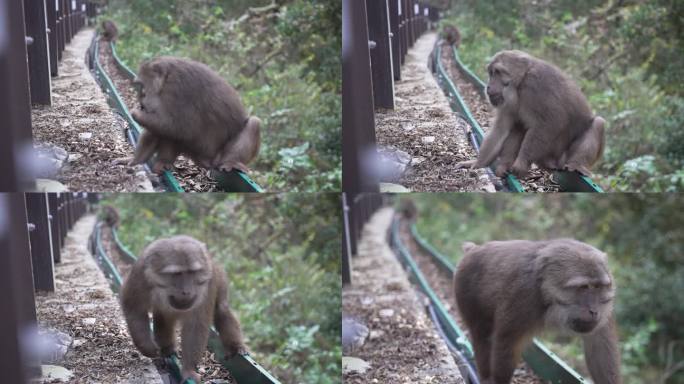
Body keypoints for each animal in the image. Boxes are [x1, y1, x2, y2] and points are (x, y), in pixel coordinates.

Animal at [121, 236, 248, 382]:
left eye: (192, 273)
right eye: (177, 273)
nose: (186, 291)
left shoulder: (208, 283)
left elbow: (196, 325)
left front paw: (189, 370)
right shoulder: (140, 273)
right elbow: (134, 306)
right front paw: (146, 346)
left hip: (218, 274)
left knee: (221, 309)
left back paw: (236, 347)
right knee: (163, 316)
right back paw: (167, 349)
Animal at [127, 56, 260, 173]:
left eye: (141, 86)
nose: (141, 102)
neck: (166, 79)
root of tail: (206, 161)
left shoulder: (176, 89)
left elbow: (177, 126)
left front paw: (135, 113)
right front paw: (135, 161)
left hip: (217, 157)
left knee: (254, 123)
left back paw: (231, 162)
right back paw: (159, 162)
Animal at [454, 238, 620, 382]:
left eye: (598, 287)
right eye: (584, 287)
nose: (594, 311)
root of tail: (474, 248)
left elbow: (599, 344)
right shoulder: (524, 294)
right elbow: (506, 342)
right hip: (465, 286)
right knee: (481, 333)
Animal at [456, 48, 608, 178]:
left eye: (498, 72)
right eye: (491, 73)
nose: (488, 86)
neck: (520, 84)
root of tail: (552, 162)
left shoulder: (536, 84)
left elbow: (552, 122)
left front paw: (521, 163)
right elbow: (501, 129)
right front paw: (477, 163)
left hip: (561, 157)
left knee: (598, 123)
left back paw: (576, 165)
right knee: (518, 127)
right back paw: (504, 165)